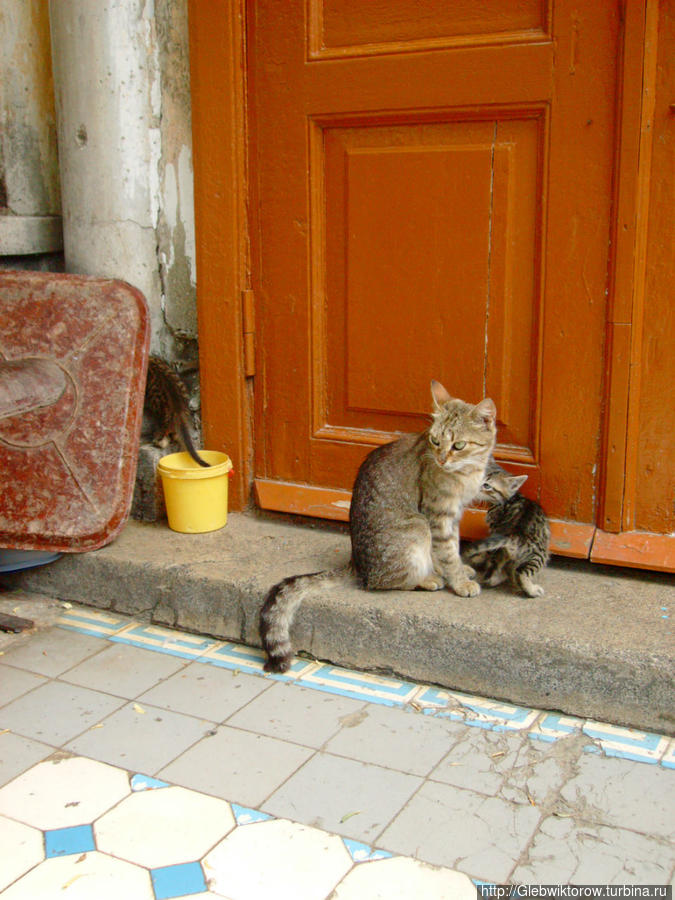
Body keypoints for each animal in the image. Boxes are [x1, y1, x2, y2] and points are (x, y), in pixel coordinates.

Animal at [258, 382, 496, 676]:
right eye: (435, 441)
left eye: (458, 445)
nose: (441, 459)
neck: (467, 471)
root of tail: (356, 564)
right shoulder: (436, 516)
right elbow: (447, 553)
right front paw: (460, 581)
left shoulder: (454, 515)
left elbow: (454, 547)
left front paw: (462, 570)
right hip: (416, 527)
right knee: (382, 582)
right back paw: (427, 579)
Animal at [468, 464, 552, 596]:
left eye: (487, 485)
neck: (510, 498)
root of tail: (515, 535)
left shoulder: (494, 530)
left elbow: (488, 551)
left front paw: (479, 557)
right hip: (540, 555)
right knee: (520, 573)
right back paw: (532, 590)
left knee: (495, 571)